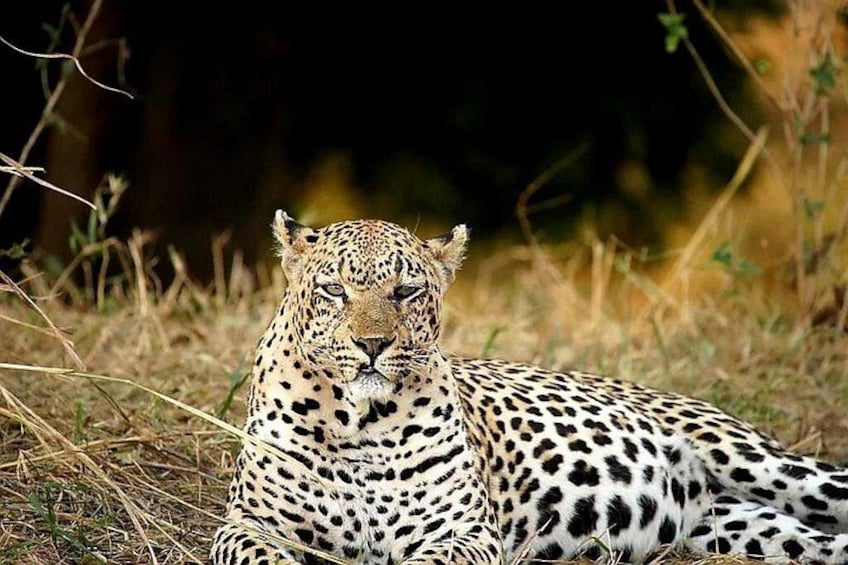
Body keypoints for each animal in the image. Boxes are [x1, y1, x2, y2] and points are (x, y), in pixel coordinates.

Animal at [210, 211, 848, 564]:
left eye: (407, 291)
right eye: (333, 290)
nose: (372, 344)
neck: (359, 422)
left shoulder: (463, 530)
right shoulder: (248, 524)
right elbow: (260, 557)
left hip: (760, 463)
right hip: (732, 524)